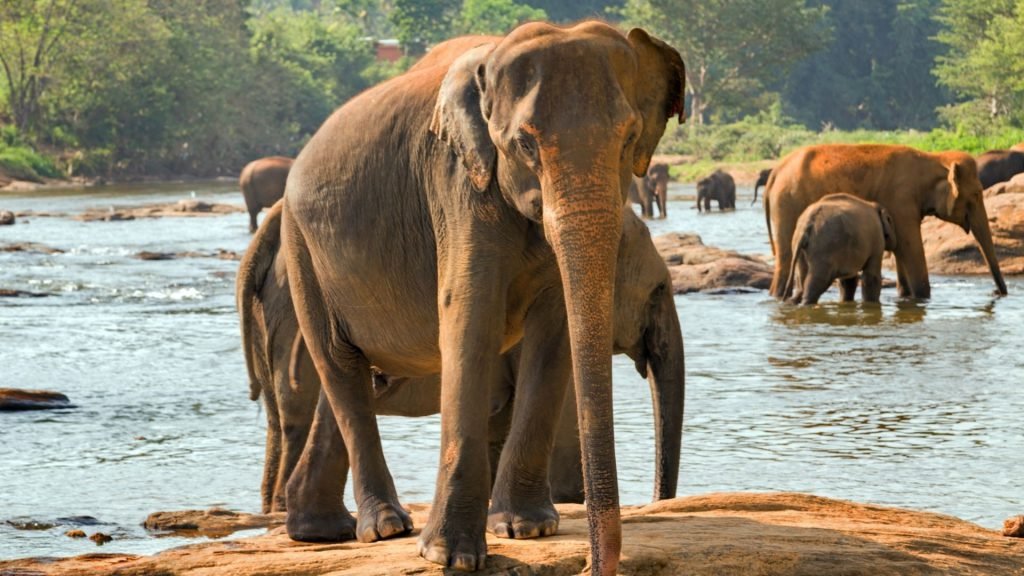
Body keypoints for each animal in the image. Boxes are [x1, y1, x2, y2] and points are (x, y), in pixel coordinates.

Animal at [765, 144, 1007, 300]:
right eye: (976, 194)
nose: (997, 292)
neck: (933, 158)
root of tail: (775, 172)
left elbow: (902, 252)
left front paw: (905, 297)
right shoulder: (901, 201)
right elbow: (911, 248)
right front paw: (922, 298)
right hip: (788, 205)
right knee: (785, 260)